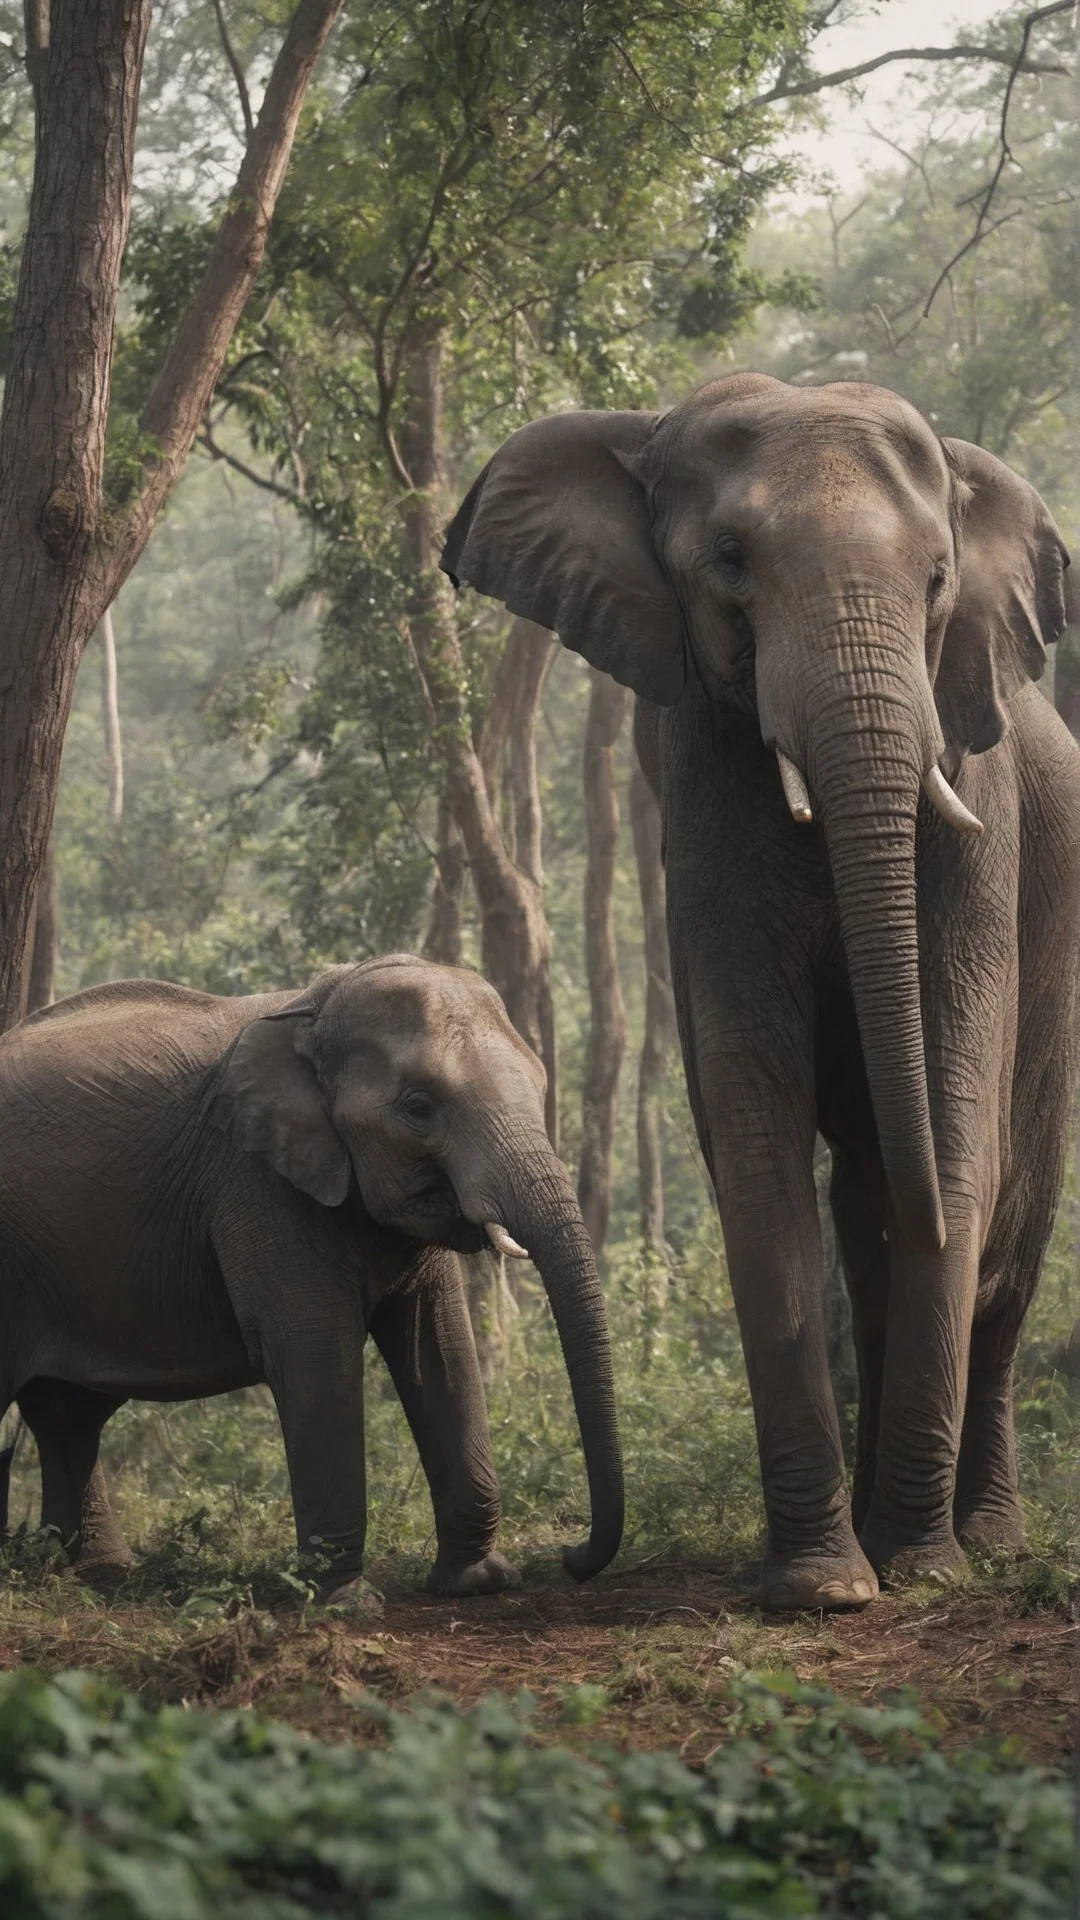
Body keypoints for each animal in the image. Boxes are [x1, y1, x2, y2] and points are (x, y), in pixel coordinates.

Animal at [0, 957, 623, 1601]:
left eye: (541, 1087)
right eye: (418, 1108)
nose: (573, 1557)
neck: (314, 1006)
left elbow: (441, 1351)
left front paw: (479, 1582)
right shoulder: (255, 1180)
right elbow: (314, 1355)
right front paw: (346, 1604)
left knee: (68, 1413)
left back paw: (95, 1575)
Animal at [441, 371, 1080, 1611]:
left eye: (937, 579)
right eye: (731, 561)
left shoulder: (978, 812)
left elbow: (960, 1128)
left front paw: (919, 1574)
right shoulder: (696, 791)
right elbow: (755, 1136)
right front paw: (823, 1588)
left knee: (1007, 1221)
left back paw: (985, 1544)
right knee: (876, 1222)